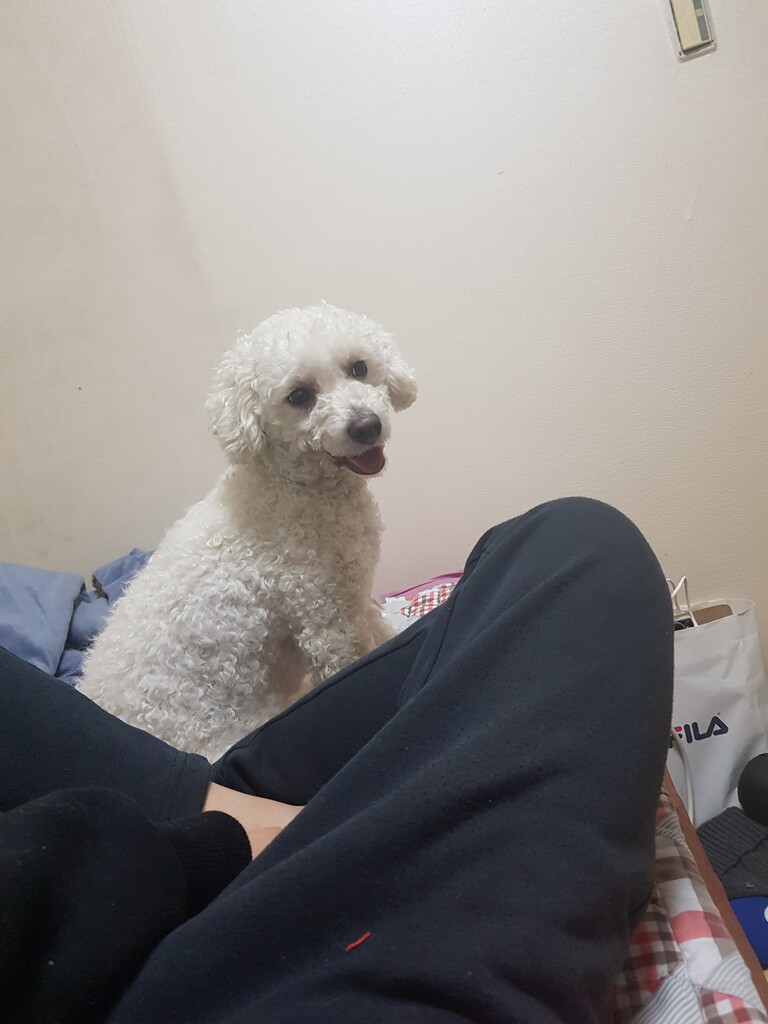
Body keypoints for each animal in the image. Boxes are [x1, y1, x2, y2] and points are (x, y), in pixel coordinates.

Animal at [79, 304, 417, 759]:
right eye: (298, 396)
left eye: (359, 367)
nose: (367, 426)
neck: (293, 486)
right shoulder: (326, 619)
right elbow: (354, 657)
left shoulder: (354, 594)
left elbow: (381, 631)